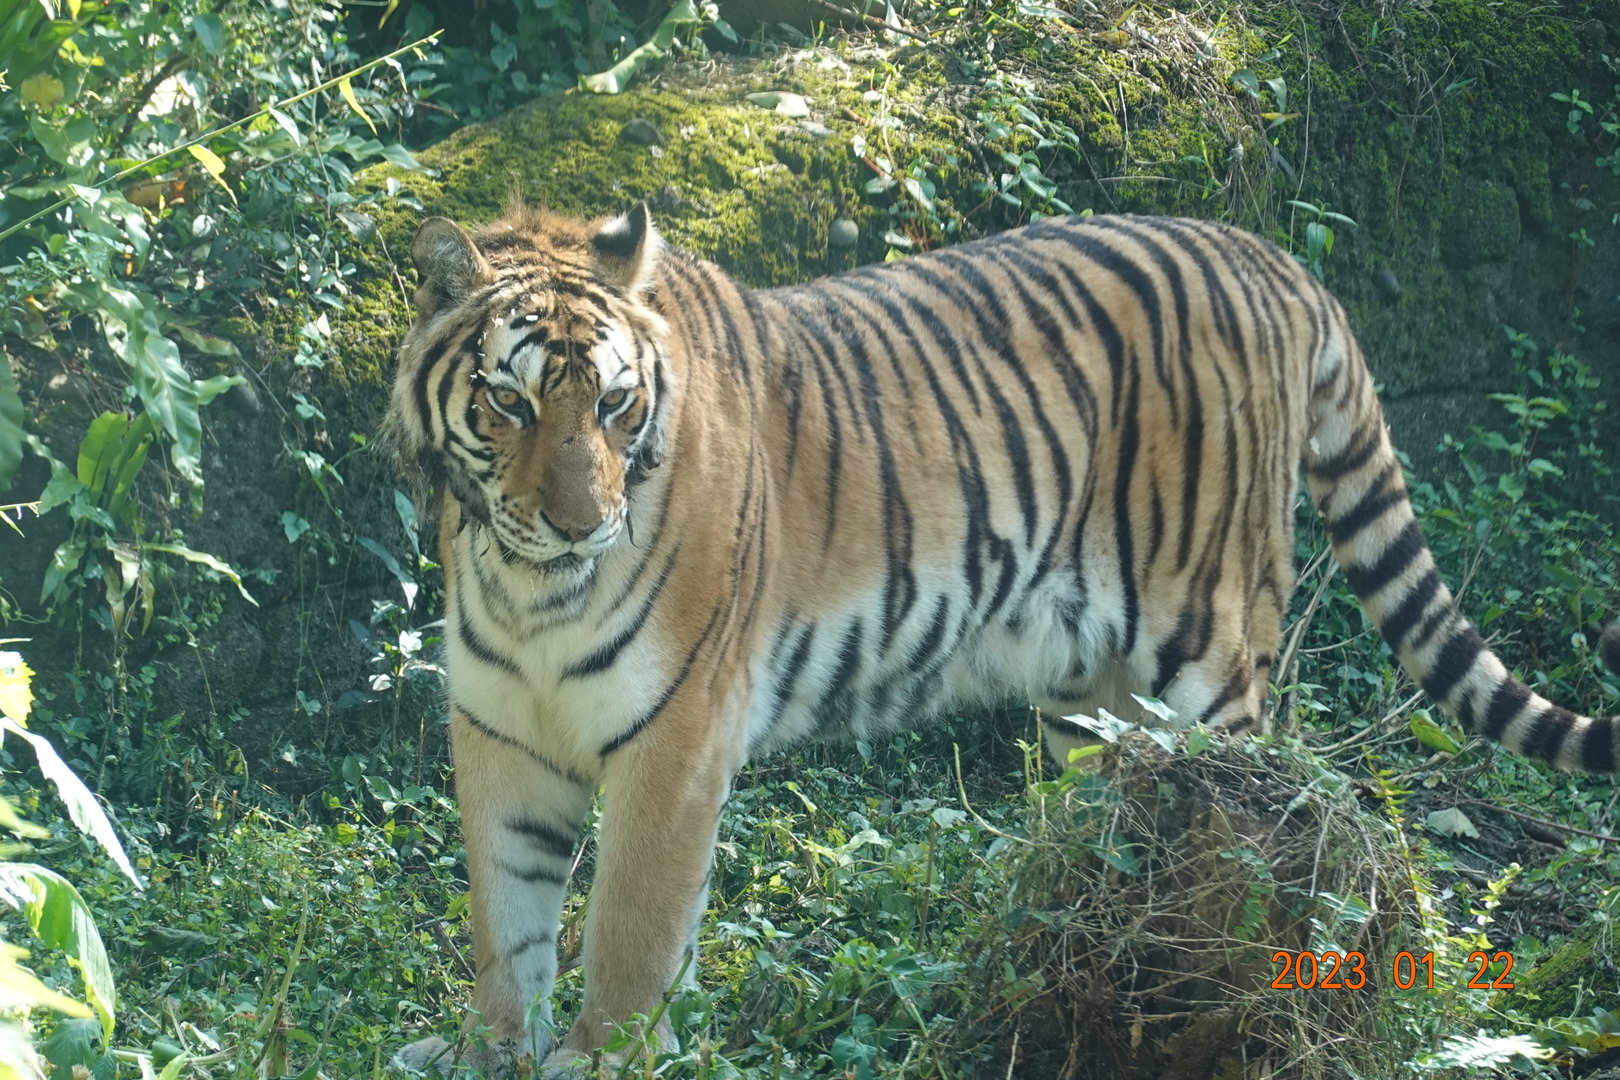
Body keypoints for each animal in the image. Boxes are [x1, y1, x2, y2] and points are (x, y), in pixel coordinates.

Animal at [386, 204, 1620, 1075]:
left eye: (613, 405)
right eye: (509, 402)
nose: (581, 521)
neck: (531, 584)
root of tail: (1272, 256)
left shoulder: (675, 742)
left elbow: (631, 934)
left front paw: (601, 1060)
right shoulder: (501, 731)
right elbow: (507, 920)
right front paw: (487, 1051)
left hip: (1209, 658)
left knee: (1273, 815)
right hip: (1096, 700)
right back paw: (1081, 971)